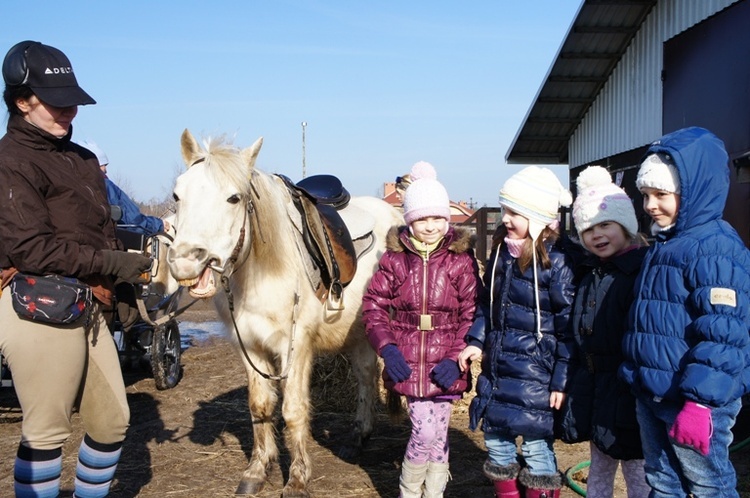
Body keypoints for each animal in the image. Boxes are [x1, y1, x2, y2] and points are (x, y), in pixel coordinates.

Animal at [167, 130, 402, 496]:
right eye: (177, 195)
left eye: (234, 198)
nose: (184, 262)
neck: (261, 272)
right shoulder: (250, 346)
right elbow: (260, 406)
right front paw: (257, 470)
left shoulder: (296, 346)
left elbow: (293, 410)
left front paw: (298, 477)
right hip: (360, 330)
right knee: (365, 375)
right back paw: (357, 436)